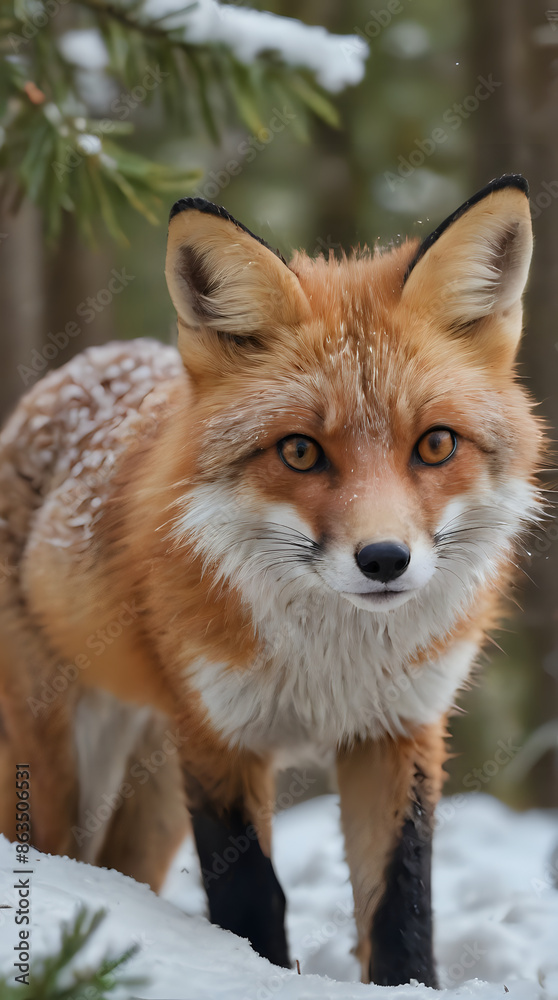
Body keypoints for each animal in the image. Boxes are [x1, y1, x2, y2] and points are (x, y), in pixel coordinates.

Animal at [0, 174, 543, 988]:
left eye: (436, 445)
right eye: (299, 452)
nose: (385, 558)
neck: (332, 665)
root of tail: (77, 368)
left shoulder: (398, 729)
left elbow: (400, 900)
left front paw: (407, 986)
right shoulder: (220, 738)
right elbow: (252, 896)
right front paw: (254, 972)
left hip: (155, 786)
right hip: (62, 758)